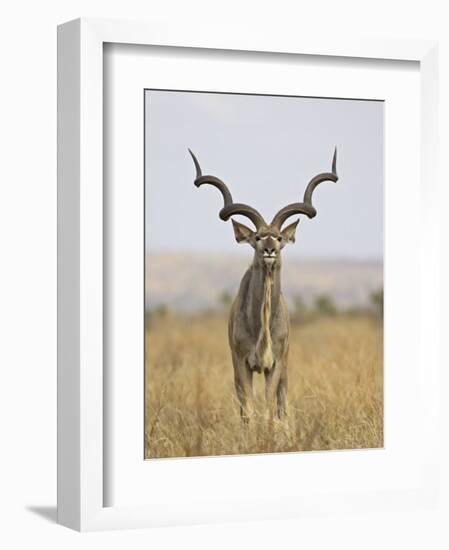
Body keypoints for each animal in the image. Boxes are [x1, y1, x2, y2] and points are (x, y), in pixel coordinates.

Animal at [187, 149, 338, 420]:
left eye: (278, 238)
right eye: (257, 237)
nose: (269, 250)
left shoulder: (275, 364)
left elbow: (269, 410)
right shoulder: (241, 363)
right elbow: (248, 410)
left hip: (285, 368)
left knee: (281, 405)